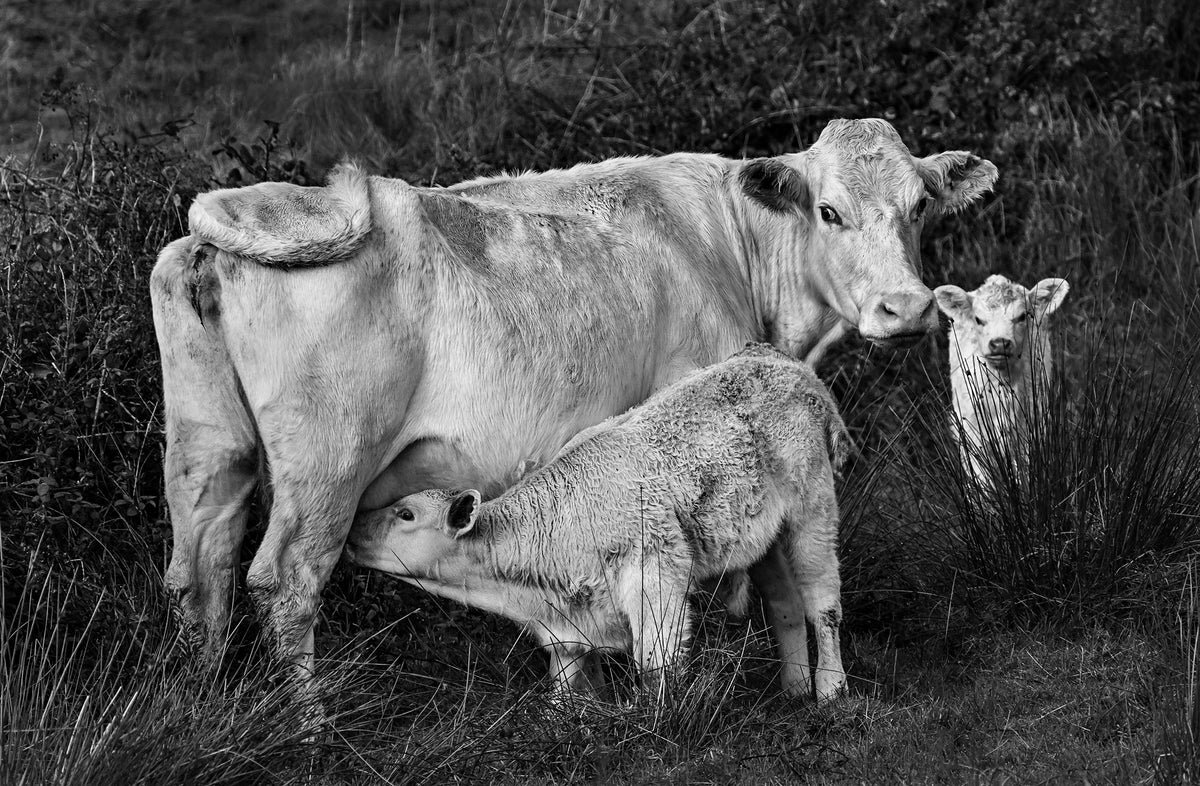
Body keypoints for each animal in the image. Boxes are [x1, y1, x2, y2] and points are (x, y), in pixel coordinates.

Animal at [344, 345, 851, 703]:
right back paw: (795, 689)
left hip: (814, 513)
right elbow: (563, 697)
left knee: (822, 602)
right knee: (786, 604)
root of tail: (782, 362)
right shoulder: (567, 631)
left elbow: (656, 666)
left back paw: (830, 691)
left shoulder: (657, 578)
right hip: (763, 538)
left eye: (405, 513)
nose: (352, 531)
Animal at [934, 274, 1069, 485]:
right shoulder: (971, 428)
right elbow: (981, 476)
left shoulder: (1032, 421)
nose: (999, 343)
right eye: (978, 319)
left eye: (1022, 316)